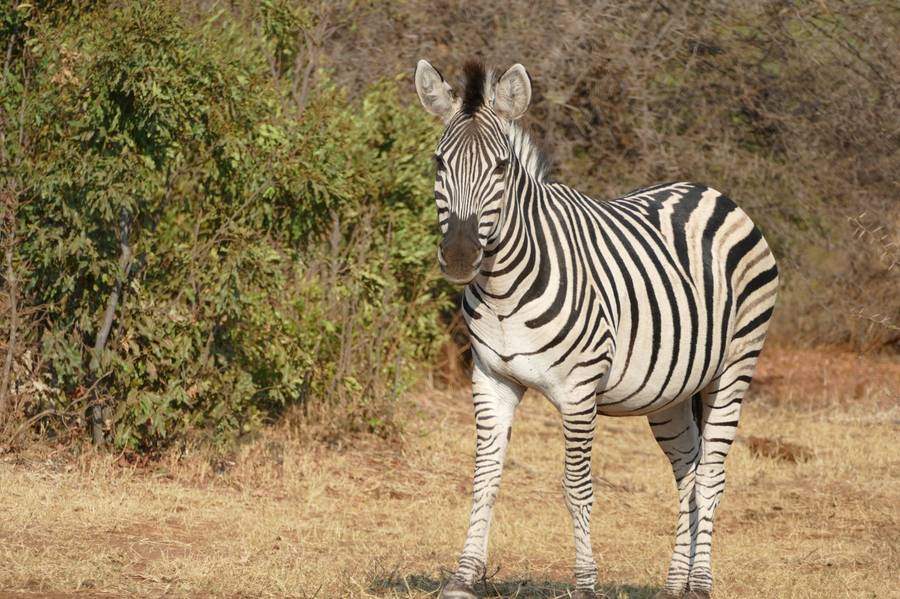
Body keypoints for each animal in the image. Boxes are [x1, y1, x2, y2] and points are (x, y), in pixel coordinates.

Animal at [414, 59, 778, 599]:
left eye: (500, 168)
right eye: (439, 164)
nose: (460, 257)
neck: (503, 287)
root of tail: (711, 192)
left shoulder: (580, 388)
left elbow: (577, 485)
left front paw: (585, 583)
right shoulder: (491, 378)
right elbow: (485, 477)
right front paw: (463, 576)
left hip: (735, 367)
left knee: (712, 474)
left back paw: (700, 583)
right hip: (670, 390)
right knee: (688, 471)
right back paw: (675, 582)